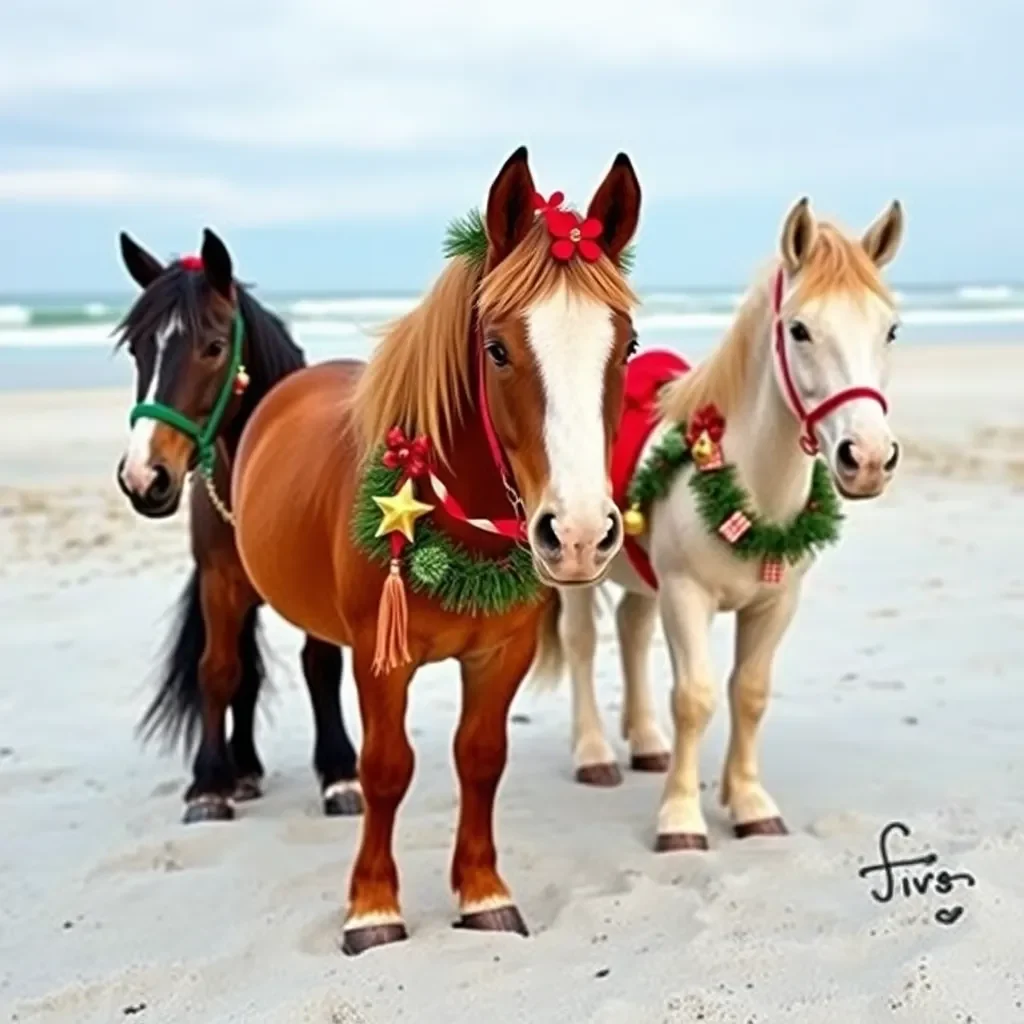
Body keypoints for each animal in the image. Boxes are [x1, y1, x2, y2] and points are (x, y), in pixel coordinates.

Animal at [115, 230, 362, 823]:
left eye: (212, 347)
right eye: (137, 349)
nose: (144, 477)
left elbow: (321, 665)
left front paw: (340, 775)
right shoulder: (219, 583)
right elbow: (220, 670)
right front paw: (211, 784)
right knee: (243, 671)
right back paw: (244, 769)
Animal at [234, 148, 638, 954]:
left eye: (629, 346)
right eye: (498, 349)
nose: (580, 533)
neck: (455, 518)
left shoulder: (503, 653)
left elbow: (480, 759)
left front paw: (483, 893)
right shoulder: (381, 656)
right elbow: (389, 767)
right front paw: (372, 907)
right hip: (225, 579)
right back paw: (215, 786)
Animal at [536, 197, 905, 847]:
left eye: (889, 330)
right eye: (799, 329)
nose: (866, 459)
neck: (749, 487)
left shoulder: (774, 604)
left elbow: (749, 694)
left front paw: (748, 802)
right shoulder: (687, 595)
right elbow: (697, 697)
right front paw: (681, 818)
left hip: (643, 579)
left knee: (631, 630)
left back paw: (647, 743)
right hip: (578, 570)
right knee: (581, 642)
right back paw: (594, 754)